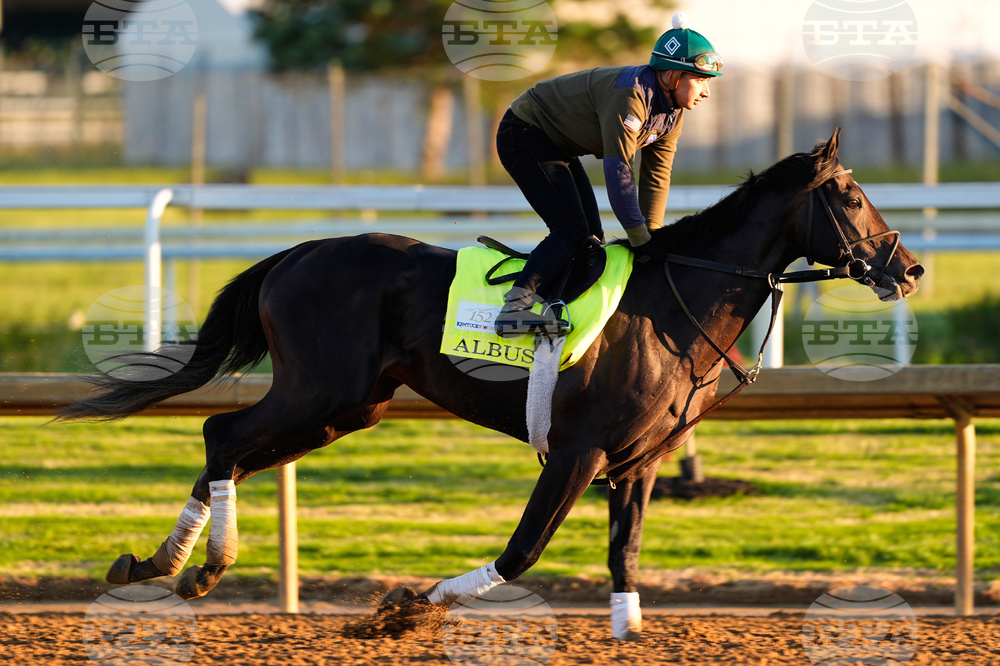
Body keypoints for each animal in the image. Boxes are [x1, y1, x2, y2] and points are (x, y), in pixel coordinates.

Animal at [60, 129, 923, 640]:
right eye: (850, 194)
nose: (908, 267)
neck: (671, 305)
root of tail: (294, 253)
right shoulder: (577, 451)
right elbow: (522, 553)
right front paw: (405, 608)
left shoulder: (637, 462)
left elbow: (626, 553)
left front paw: (629, 630)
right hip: (320, 392)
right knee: (223, 435)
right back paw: (201, 565)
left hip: (348, 409)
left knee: (231, 450)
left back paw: (158, 564)